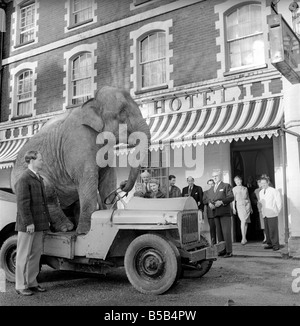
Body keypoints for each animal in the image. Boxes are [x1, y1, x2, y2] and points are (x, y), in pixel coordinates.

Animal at [11, 86, 150, 234]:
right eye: (122, 111)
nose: (123, 184)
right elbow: (87, 177)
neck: (93, 102)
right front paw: (85, 232)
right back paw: (67, 227)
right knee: (47, 189)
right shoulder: (78, 141)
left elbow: (108, 178)